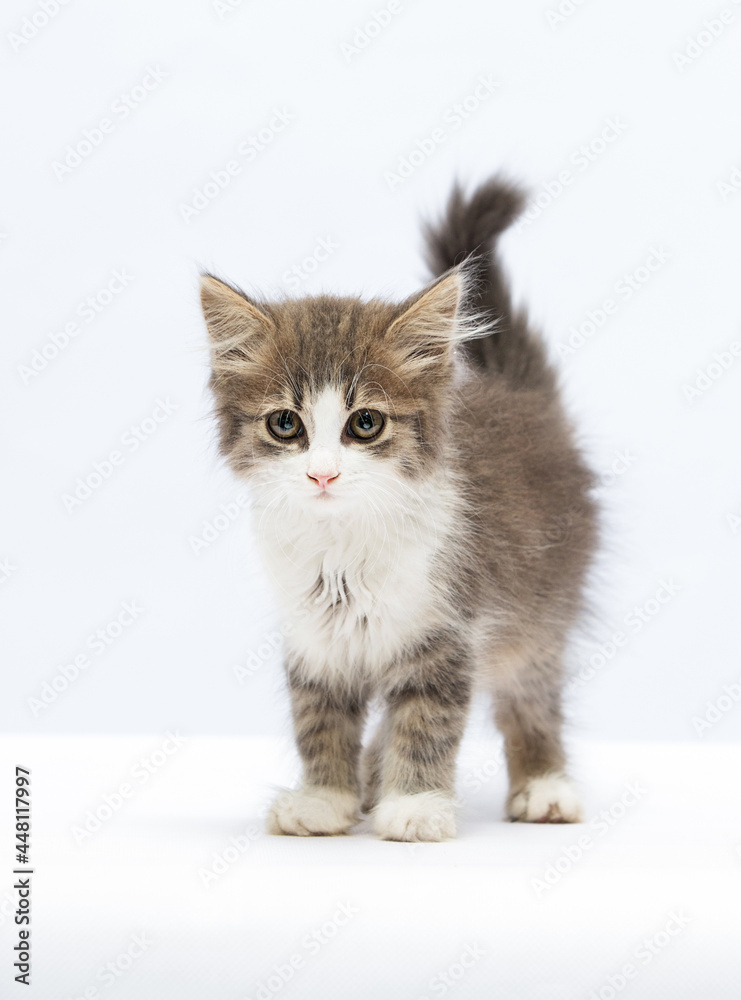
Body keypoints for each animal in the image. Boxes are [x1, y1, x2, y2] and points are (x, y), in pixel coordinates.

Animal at [201, 176, 596, 840]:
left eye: (365, 423)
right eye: (285, 424)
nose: (323, 472)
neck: (343, 548)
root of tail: (524, 400)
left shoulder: (447, 630)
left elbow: (426, 722)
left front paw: (414, 805)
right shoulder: (317, 639)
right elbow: (320, 720)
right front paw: (326, 799)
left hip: (540, 610)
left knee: (531, 699)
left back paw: (544, 786)